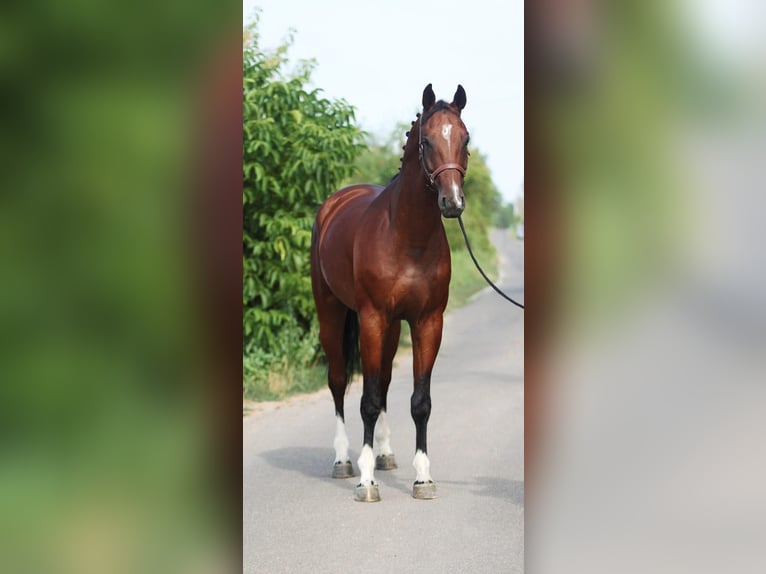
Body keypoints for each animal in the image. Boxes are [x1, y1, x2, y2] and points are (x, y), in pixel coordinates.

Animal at [310, 83, 468, 502]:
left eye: (465, 138)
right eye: (426, 141)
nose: (452, 202)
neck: (407, 237)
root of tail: (335, 202)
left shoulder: (427, 321)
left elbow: (419, 402)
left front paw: (423, 478)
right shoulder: (371, 318)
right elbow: (366, 400)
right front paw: (366, 482)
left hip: (394, 327)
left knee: (382, 381)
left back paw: (384, 454)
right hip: (332, 313)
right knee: (339, 382)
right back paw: (344, 461)